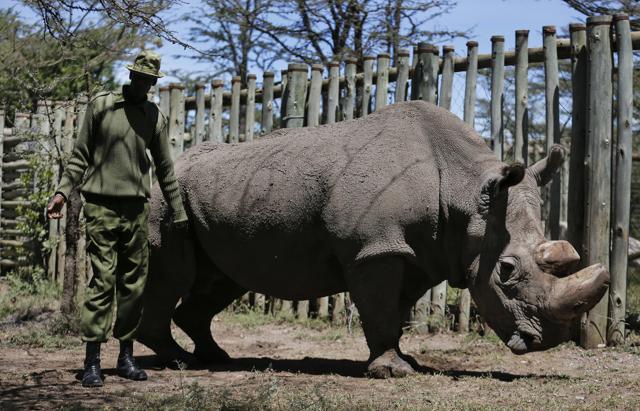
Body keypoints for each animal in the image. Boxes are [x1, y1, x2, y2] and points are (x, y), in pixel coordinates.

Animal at [136, 100, 609, 378]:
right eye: (507, 271)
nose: (546, 341)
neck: (466, 188)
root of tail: (177, 162)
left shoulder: (417, 254)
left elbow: (394, 313)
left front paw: (404, 362)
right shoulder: (375, 250)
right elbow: (380, 310)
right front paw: (393, 372)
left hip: (223, 196)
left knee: (223, 280)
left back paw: (216, 358)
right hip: (169, 199)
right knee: (174, 275)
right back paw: (178, 361)